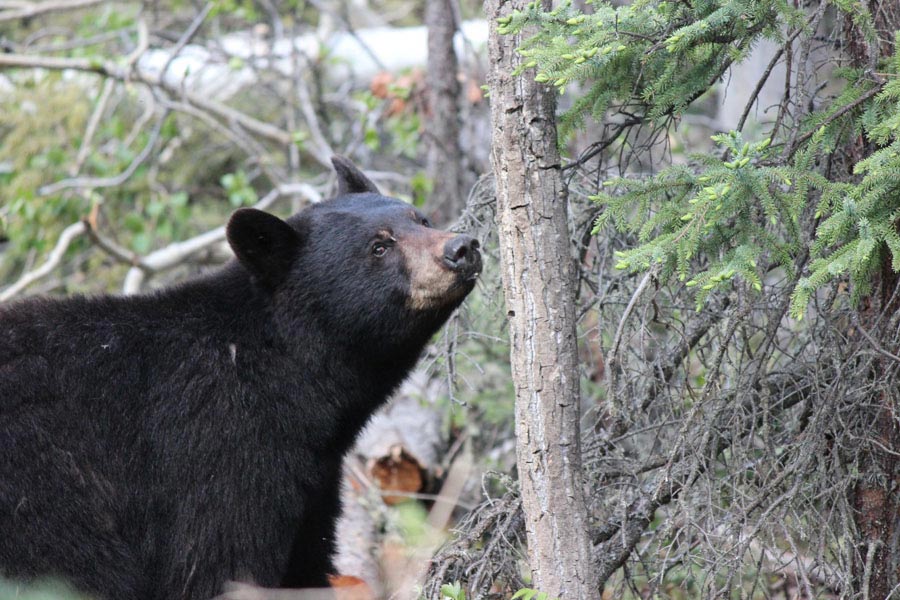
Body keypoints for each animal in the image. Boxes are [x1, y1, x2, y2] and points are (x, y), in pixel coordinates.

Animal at [0, 158, 482, 600]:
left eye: (420, 218)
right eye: (379, 247)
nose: (463, 247)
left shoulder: (312, 487)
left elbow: (306, 563)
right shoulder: (219, 451)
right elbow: (216, 564)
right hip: (48, 503)